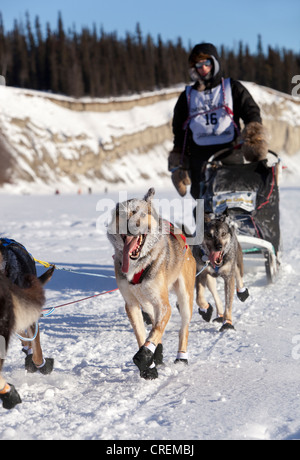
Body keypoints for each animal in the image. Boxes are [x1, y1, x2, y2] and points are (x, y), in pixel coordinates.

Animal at [106, 188, 196, 380]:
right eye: (123, 214)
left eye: (141, 213)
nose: (132, 225)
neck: (138, 265)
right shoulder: (132, 304)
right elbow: (142, 335)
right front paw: (150, 364)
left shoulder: (164, 305)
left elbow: (155, 331)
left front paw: (145, 356)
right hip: (147, 304)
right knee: (154, 321)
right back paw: (158, 353)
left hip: (184, 298)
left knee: (183, 328)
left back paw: (181, 357)